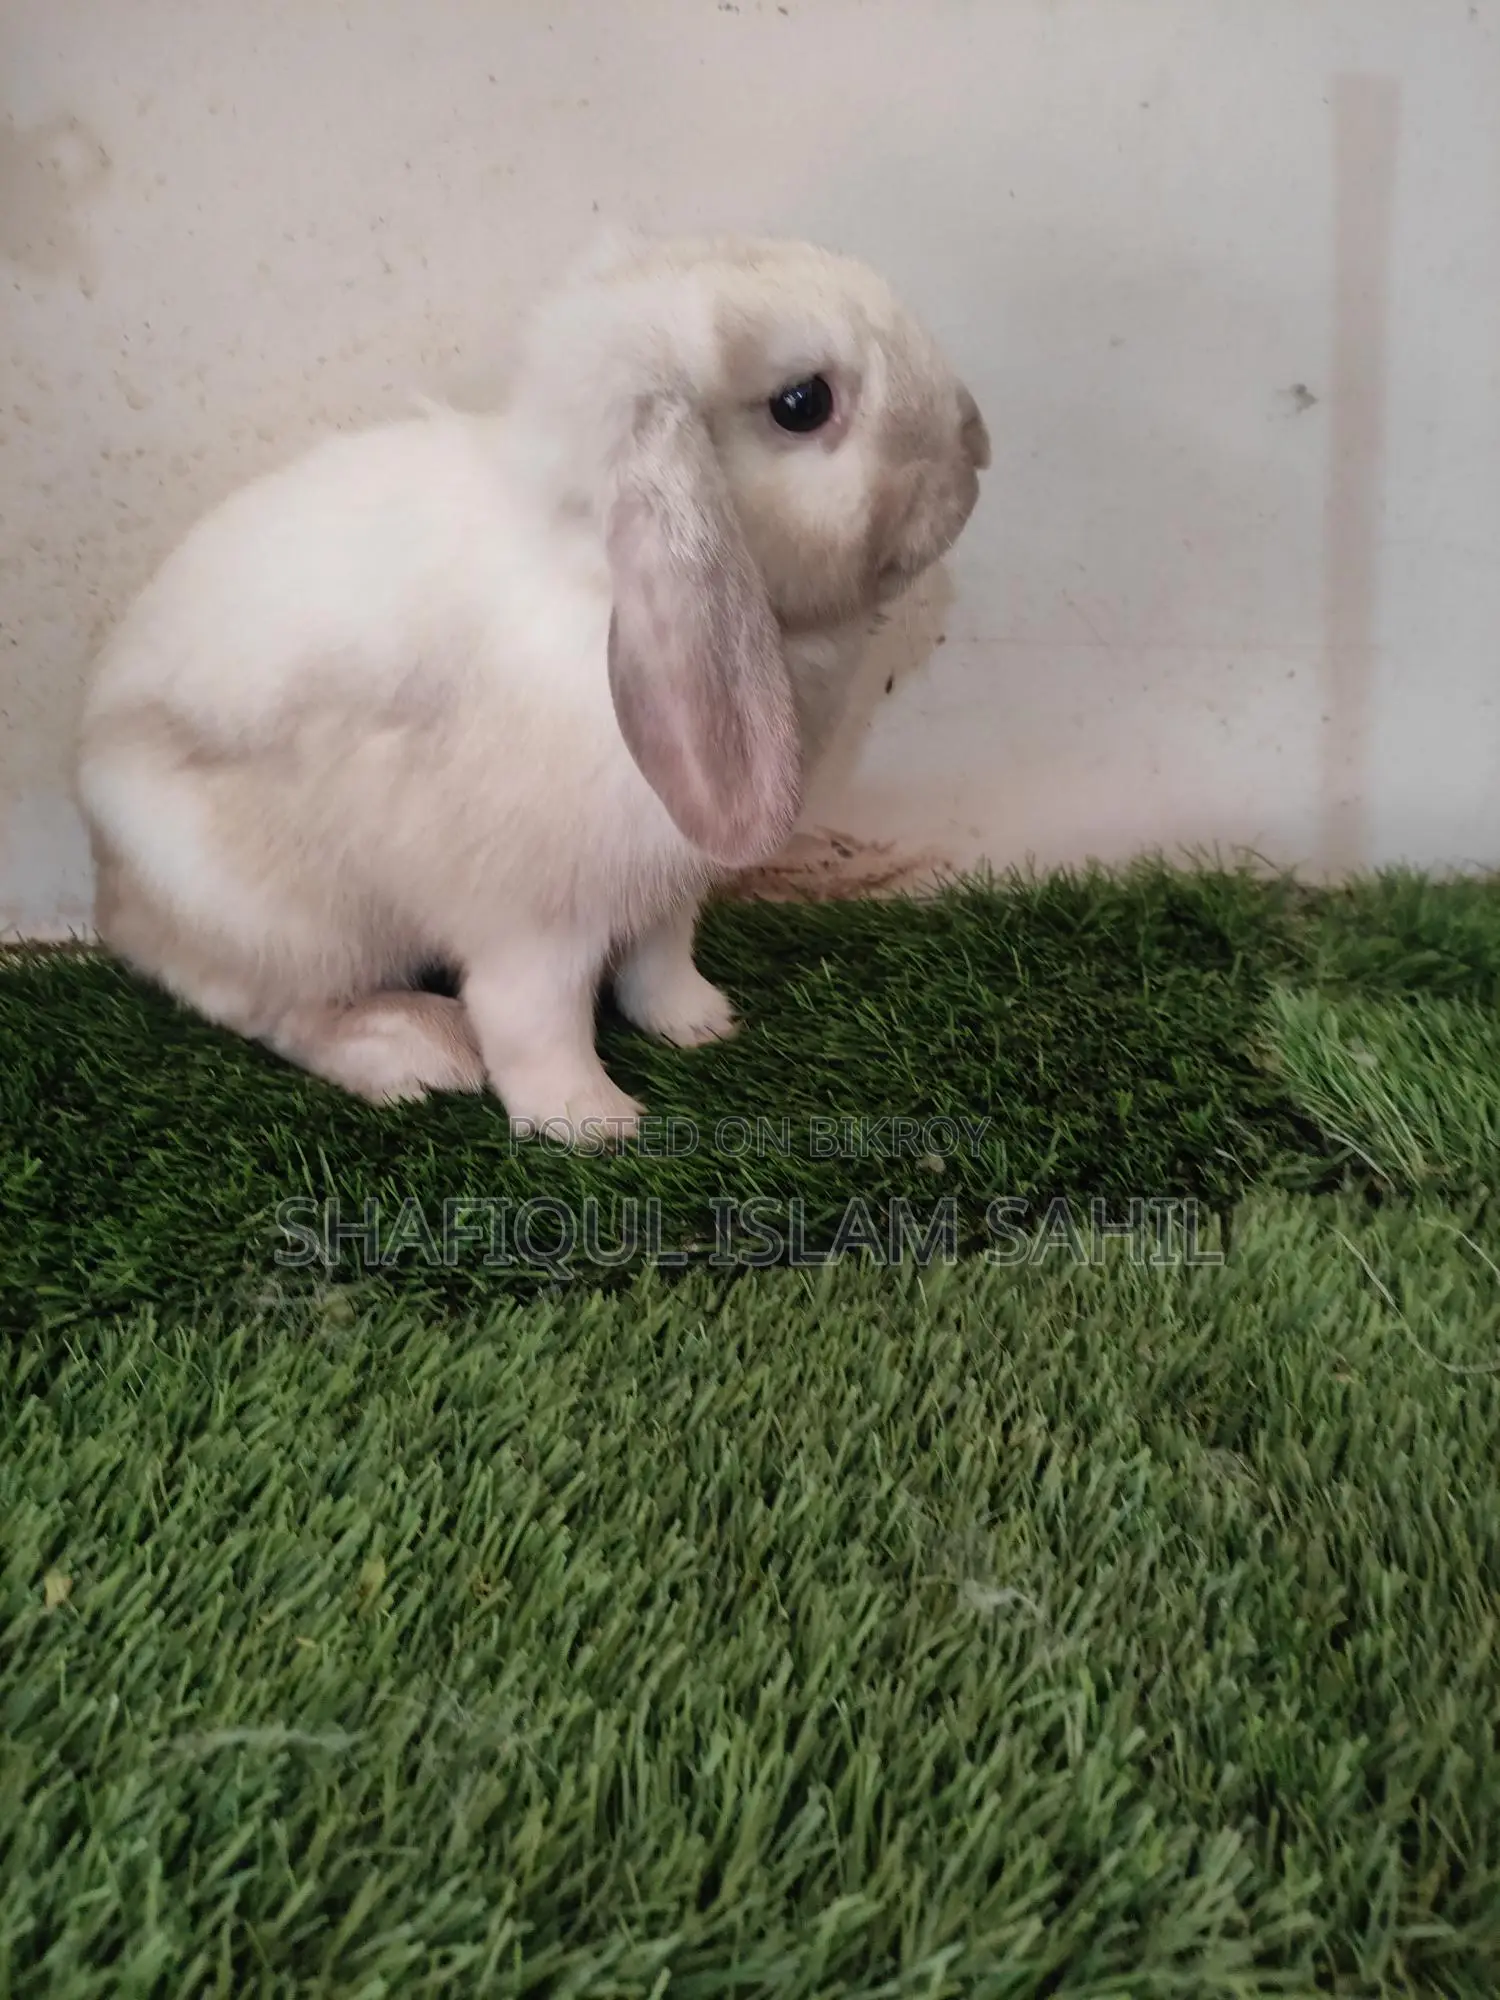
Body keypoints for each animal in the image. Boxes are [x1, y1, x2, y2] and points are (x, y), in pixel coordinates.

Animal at [75, 231, 990, 1141]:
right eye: (803, 402)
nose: (976, 442)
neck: (594, 580)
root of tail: (114, 895)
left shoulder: (666, 888)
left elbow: (660, 961)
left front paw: (700, 1023)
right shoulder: (534, 922)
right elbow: (534, 1019)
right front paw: (590, 1121)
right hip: (286, 924)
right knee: (276, 1013)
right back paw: (416, 1049)